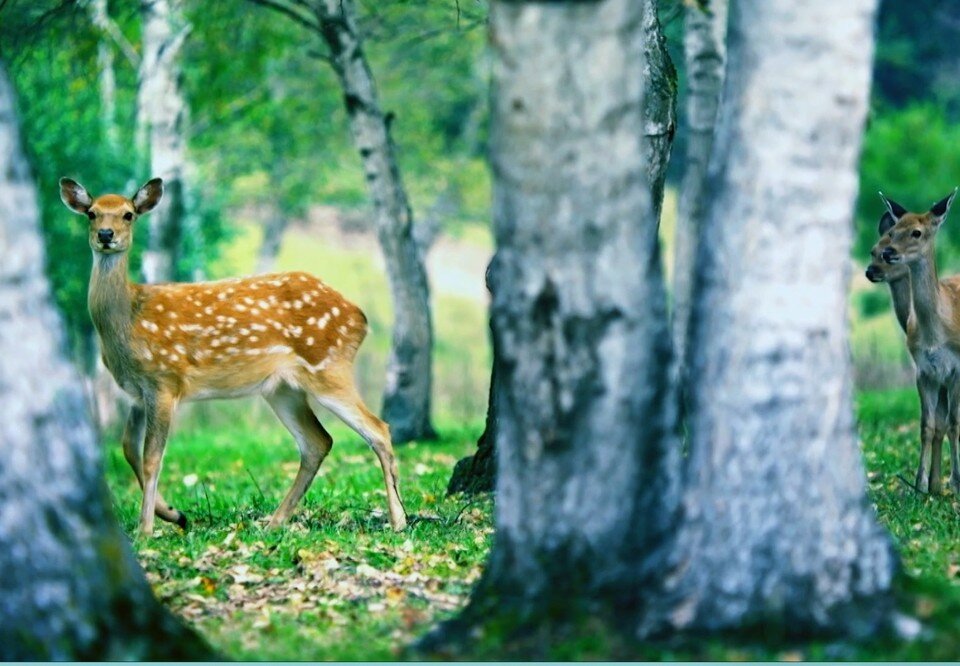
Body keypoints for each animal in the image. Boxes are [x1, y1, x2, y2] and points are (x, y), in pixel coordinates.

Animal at [60, 176, 404, 536]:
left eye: (128, 214)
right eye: (92, 213)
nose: (106, 235)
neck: (128, 319)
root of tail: (359, 317)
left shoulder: (164, 380)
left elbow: (152, 458)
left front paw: (147, 530)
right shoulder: (138, 392)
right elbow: (129, 449)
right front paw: (175, 514)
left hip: (328, 366)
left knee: (378, 429)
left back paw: (399, 520)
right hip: (282, 389)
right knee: (317, 442)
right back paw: (275, 522)